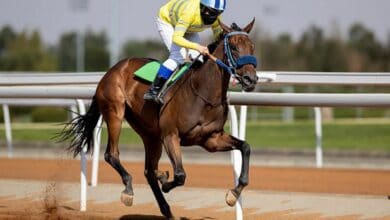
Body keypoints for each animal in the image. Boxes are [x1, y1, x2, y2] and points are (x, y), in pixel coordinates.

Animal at [58, 18, 258, 218]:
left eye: (252, 46)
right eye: (234, 47)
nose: (251, 79)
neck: (203, 93)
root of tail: (112, 70)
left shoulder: (211, 139)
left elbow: (245, 147)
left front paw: (233, 194)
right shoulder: (171, 135)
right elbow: (180, 175)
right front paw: (167, 184)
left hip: (150, 135)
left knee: (149, 171)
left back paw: (166, 206)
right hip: (115, 112)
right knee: (112, 154)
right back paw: (129, 190)